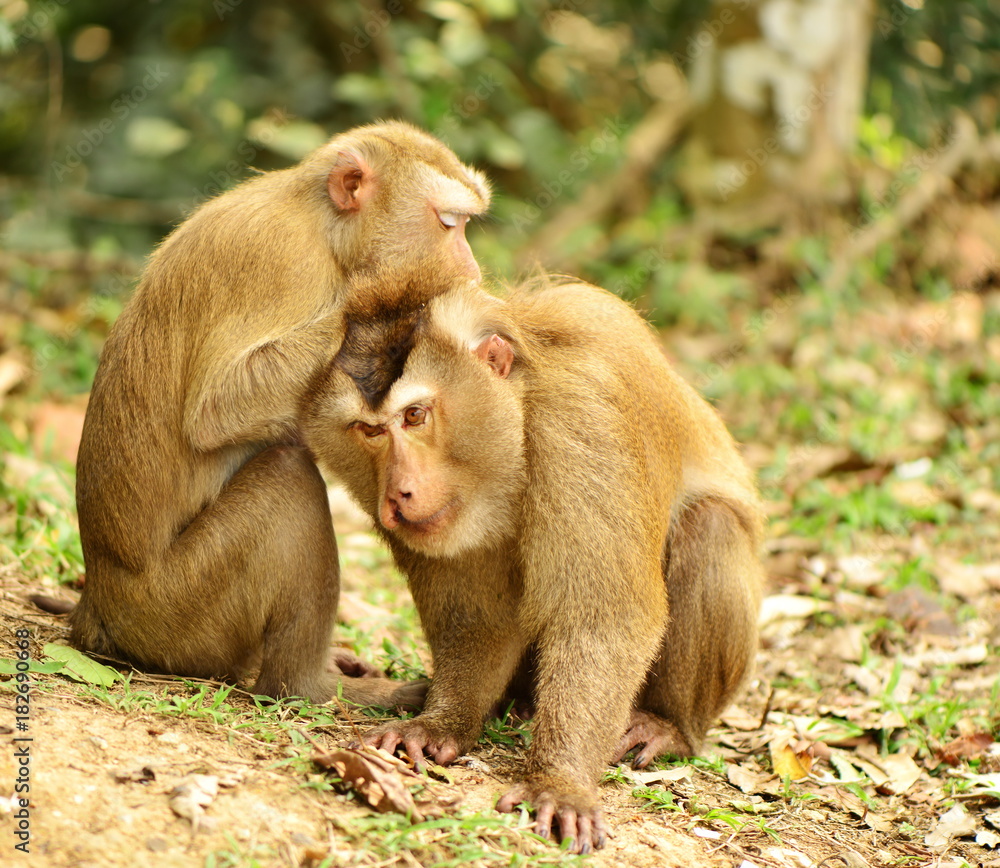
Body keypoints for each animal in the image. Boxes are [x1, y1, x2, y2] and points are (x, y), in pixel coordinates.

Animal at [60, 122, 491, 707]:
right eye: (449, 223)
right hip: (178, 613)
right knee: (287, 477)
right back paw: (305, 683)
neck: (325, 232)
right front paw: (398, 298)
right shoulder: (282, 263)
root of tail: (98, 606)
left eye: (464, 225)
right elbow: (217, 408)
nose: (471, 268)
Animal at [301, 279, 765, 853]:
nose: (398, 491)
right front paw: (442, 722)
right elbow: (479, 618)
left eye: (415, 416)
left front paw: (559, 781)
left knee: (711, 526)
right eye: (369, 431)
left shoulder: (584, 423)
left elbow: (602, 618)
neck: (518, 423)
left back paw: (668, 724)